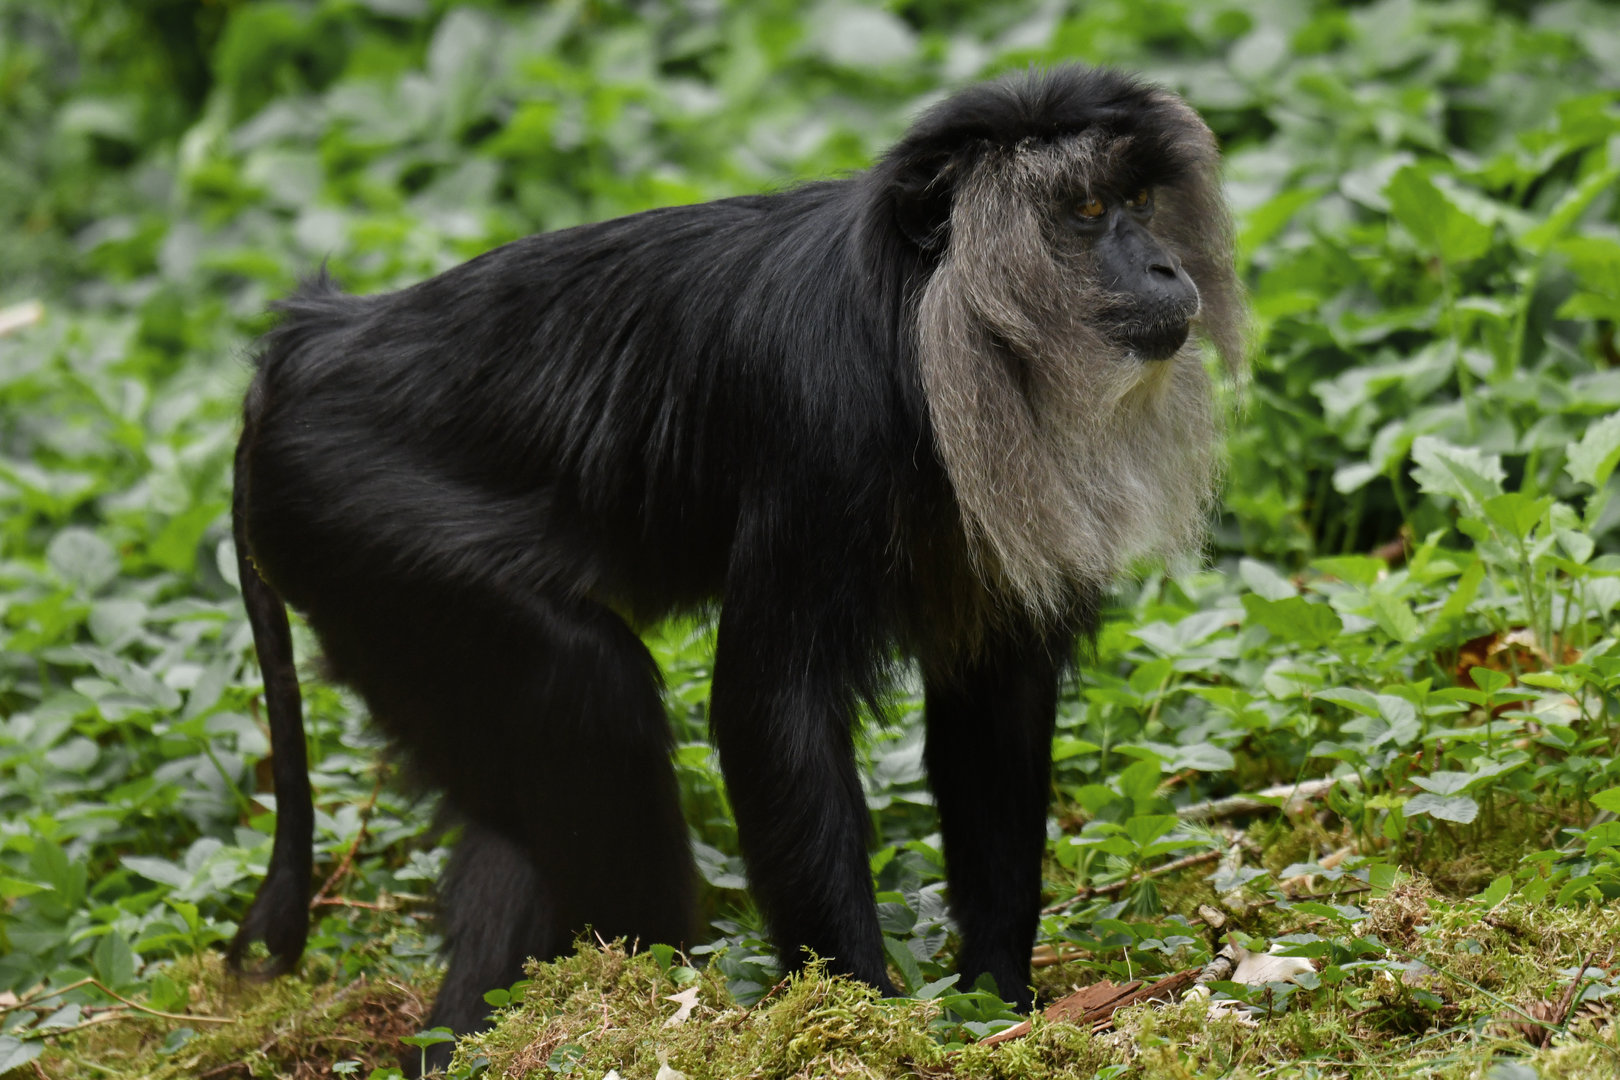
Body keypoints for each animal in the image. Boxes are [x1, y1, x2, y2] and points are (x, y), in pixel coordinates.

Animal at [225, 65, 1245, 1070]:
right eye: (1086, 211)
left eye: (1141, 202)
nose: (1165, 268)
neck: (921, 322)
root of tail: (312, 343)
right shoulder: (827, 424)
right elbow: (771, 709)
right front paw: (857, 1021)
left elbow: (994, 700)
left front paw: (1000, 1003)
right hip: (367, 530)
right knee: (594, 693)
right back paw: (639, 1006)